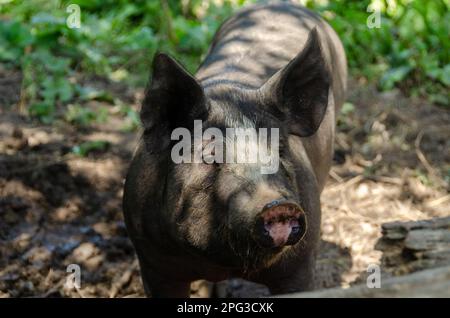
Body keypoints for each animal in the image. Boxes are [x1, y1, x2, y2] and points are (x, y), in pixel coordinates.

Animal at [123, 2, 348, 296]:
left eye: (280, 148)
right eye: (210, 153)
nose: (278, 204)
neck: (221, 263)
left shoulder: (300, 264)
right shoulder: (151, 261)